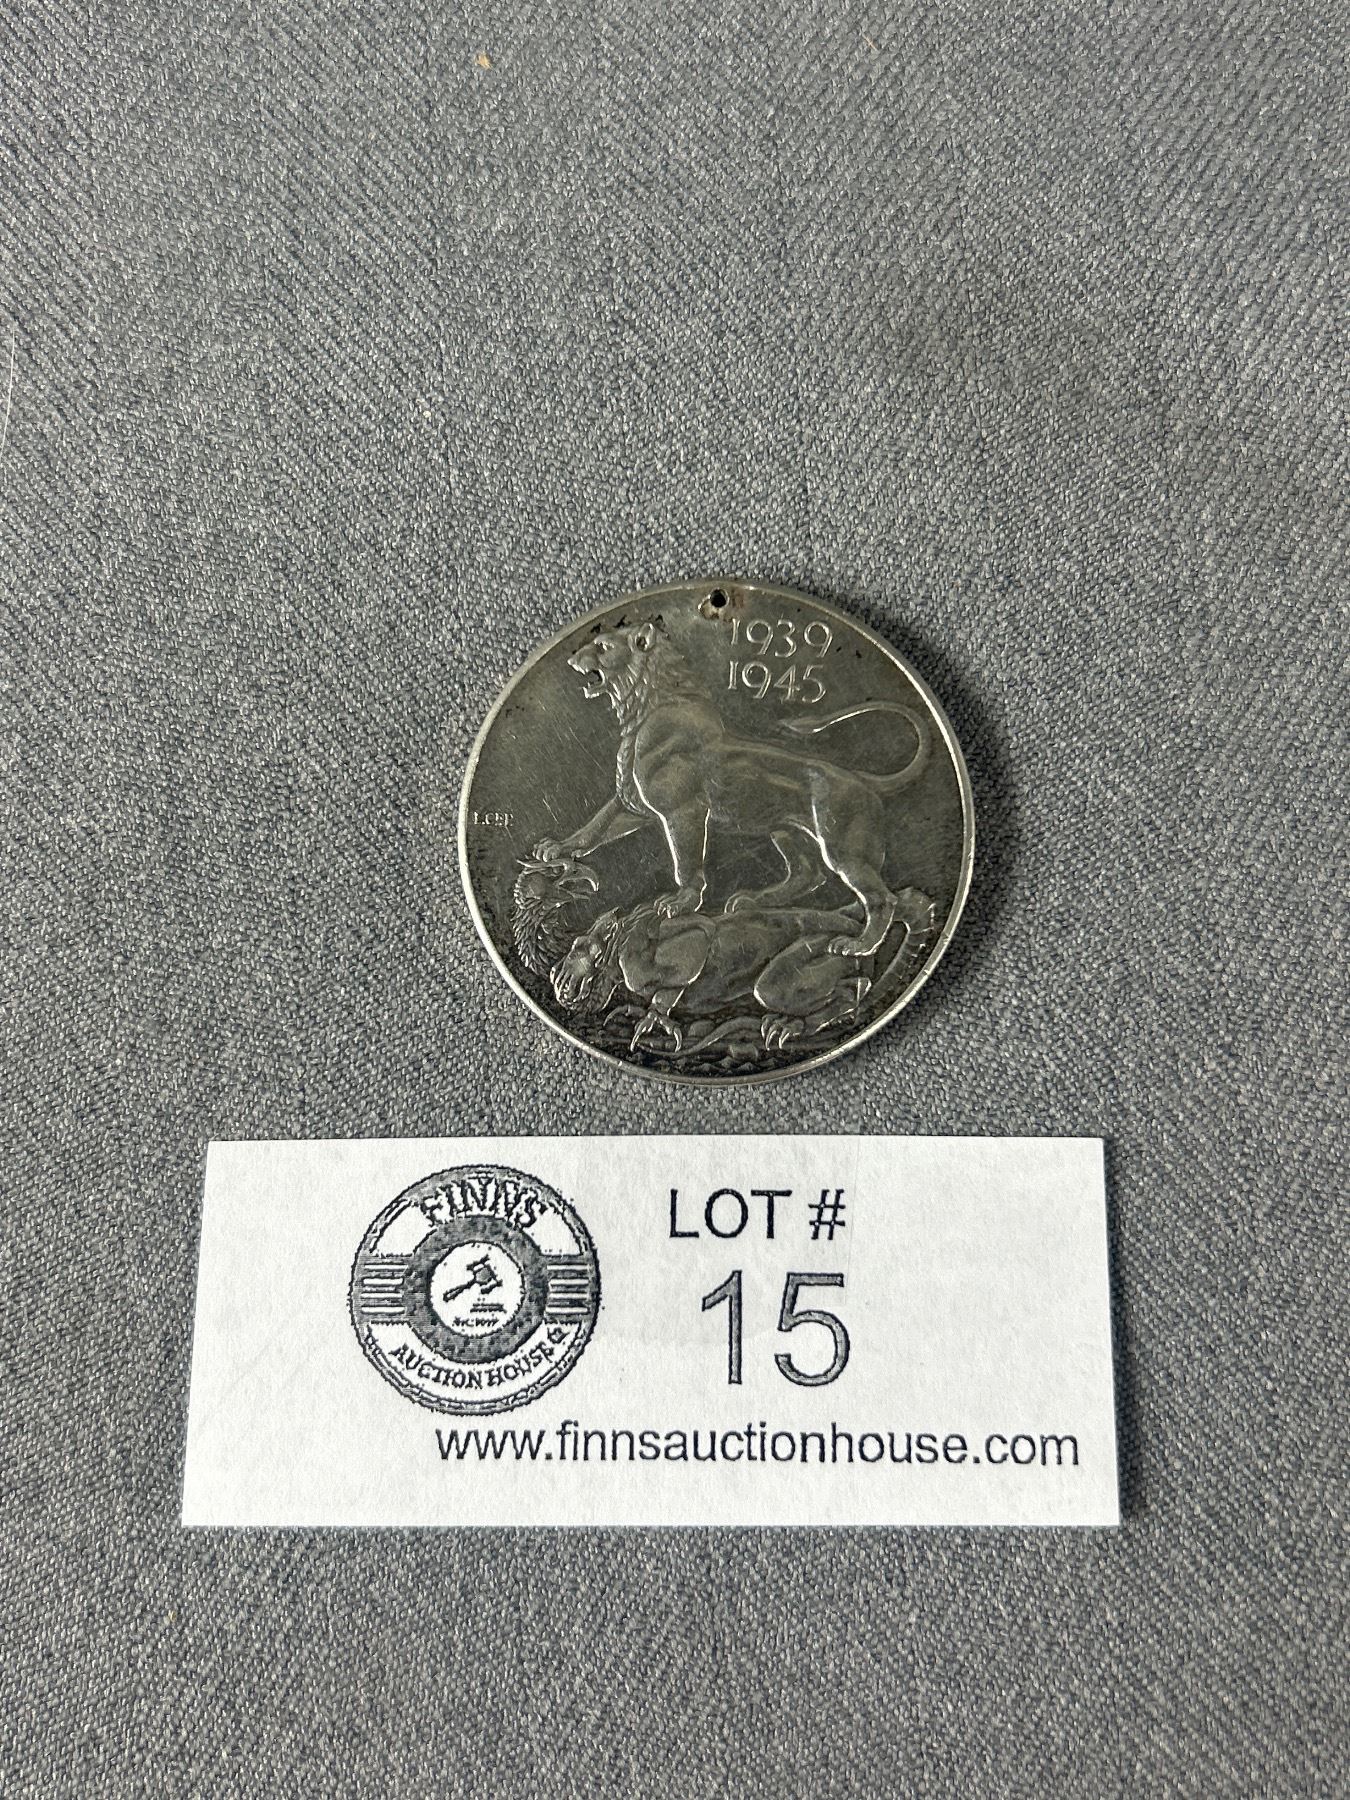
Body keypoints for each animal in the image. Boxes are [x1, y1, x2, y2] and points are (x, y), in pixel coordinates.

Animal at [533, 620, 932, 958]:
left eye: (601, 646)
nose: (570, 658)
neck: (641, 710)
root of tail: (863, 779)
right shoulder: (634, 805)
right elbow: (594, 827)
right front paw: (557, 848)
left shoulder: (682, 810)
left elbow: (685, 861)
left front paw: (679, 903)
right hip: (786, 830)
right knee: (807, 873)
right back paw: (754, 901)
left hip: (843, 848)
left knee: (881, 898)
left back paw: (859, 945)